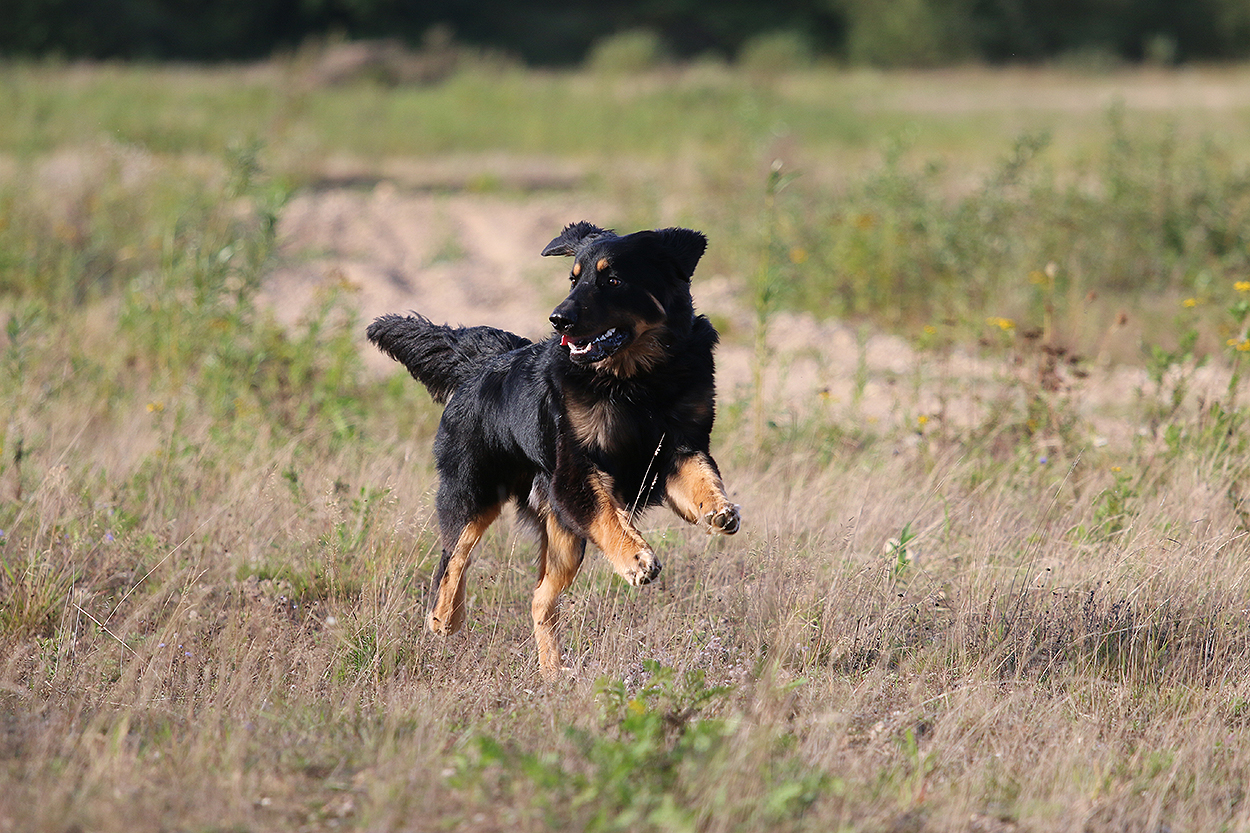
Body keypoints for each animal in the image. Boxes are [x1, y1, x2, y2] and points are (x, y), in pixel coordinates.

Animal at [366, 221, 740, 676]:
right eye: (573, 279)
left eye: (612, 280)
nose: (559, 319)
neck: (637, 380)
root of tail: (481, 364)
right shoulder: (575, 471)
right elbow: (611, 520)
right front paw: (636, 558)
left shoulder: (677, 450)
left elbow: (702, 477)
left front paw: (719, 510)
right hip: (475, 490)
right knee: (453, 556)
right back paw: (444, 618)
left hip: (563, 533)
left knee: (540, 598)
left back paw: (553, 673)